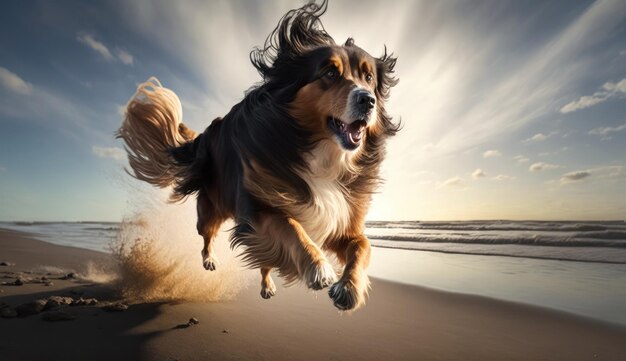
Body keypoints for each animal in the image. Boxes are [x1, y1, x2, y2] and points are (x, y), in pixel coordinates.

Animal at [116, 0, 398, 310]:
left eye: (368, 77)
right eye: (329, 73)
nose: (368, 101)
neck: (321, 152)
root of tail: (206, 136)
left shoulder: (342, 223)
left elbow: (363, 246)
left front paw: (349, 287)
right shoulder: (259, 210)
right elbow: (291, 226)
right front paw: (318, 266)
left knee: (264, 261)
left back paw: (266, 284)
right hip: (213, 206)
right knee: (206, 234)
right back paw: (210, 259)